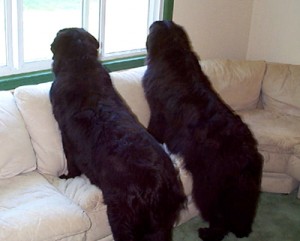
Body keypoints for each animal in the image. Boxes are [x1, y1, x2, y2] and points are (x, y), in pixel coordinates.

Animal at [49, 27, 185, 240]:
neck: (80, 63)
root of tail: (159, 184)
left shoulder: (66, 137)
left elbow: (71, 162)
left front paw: (68, 176)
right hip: (160, 226)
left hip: (121, 216)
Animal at [143, 21, 262, 241]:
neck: (173, 50)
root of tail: (246, 155)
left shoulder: (157, 112)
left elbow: (154, 128)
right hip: (238, 192)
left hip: (208, 187)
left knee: (219, 218)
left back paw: (208, 233)